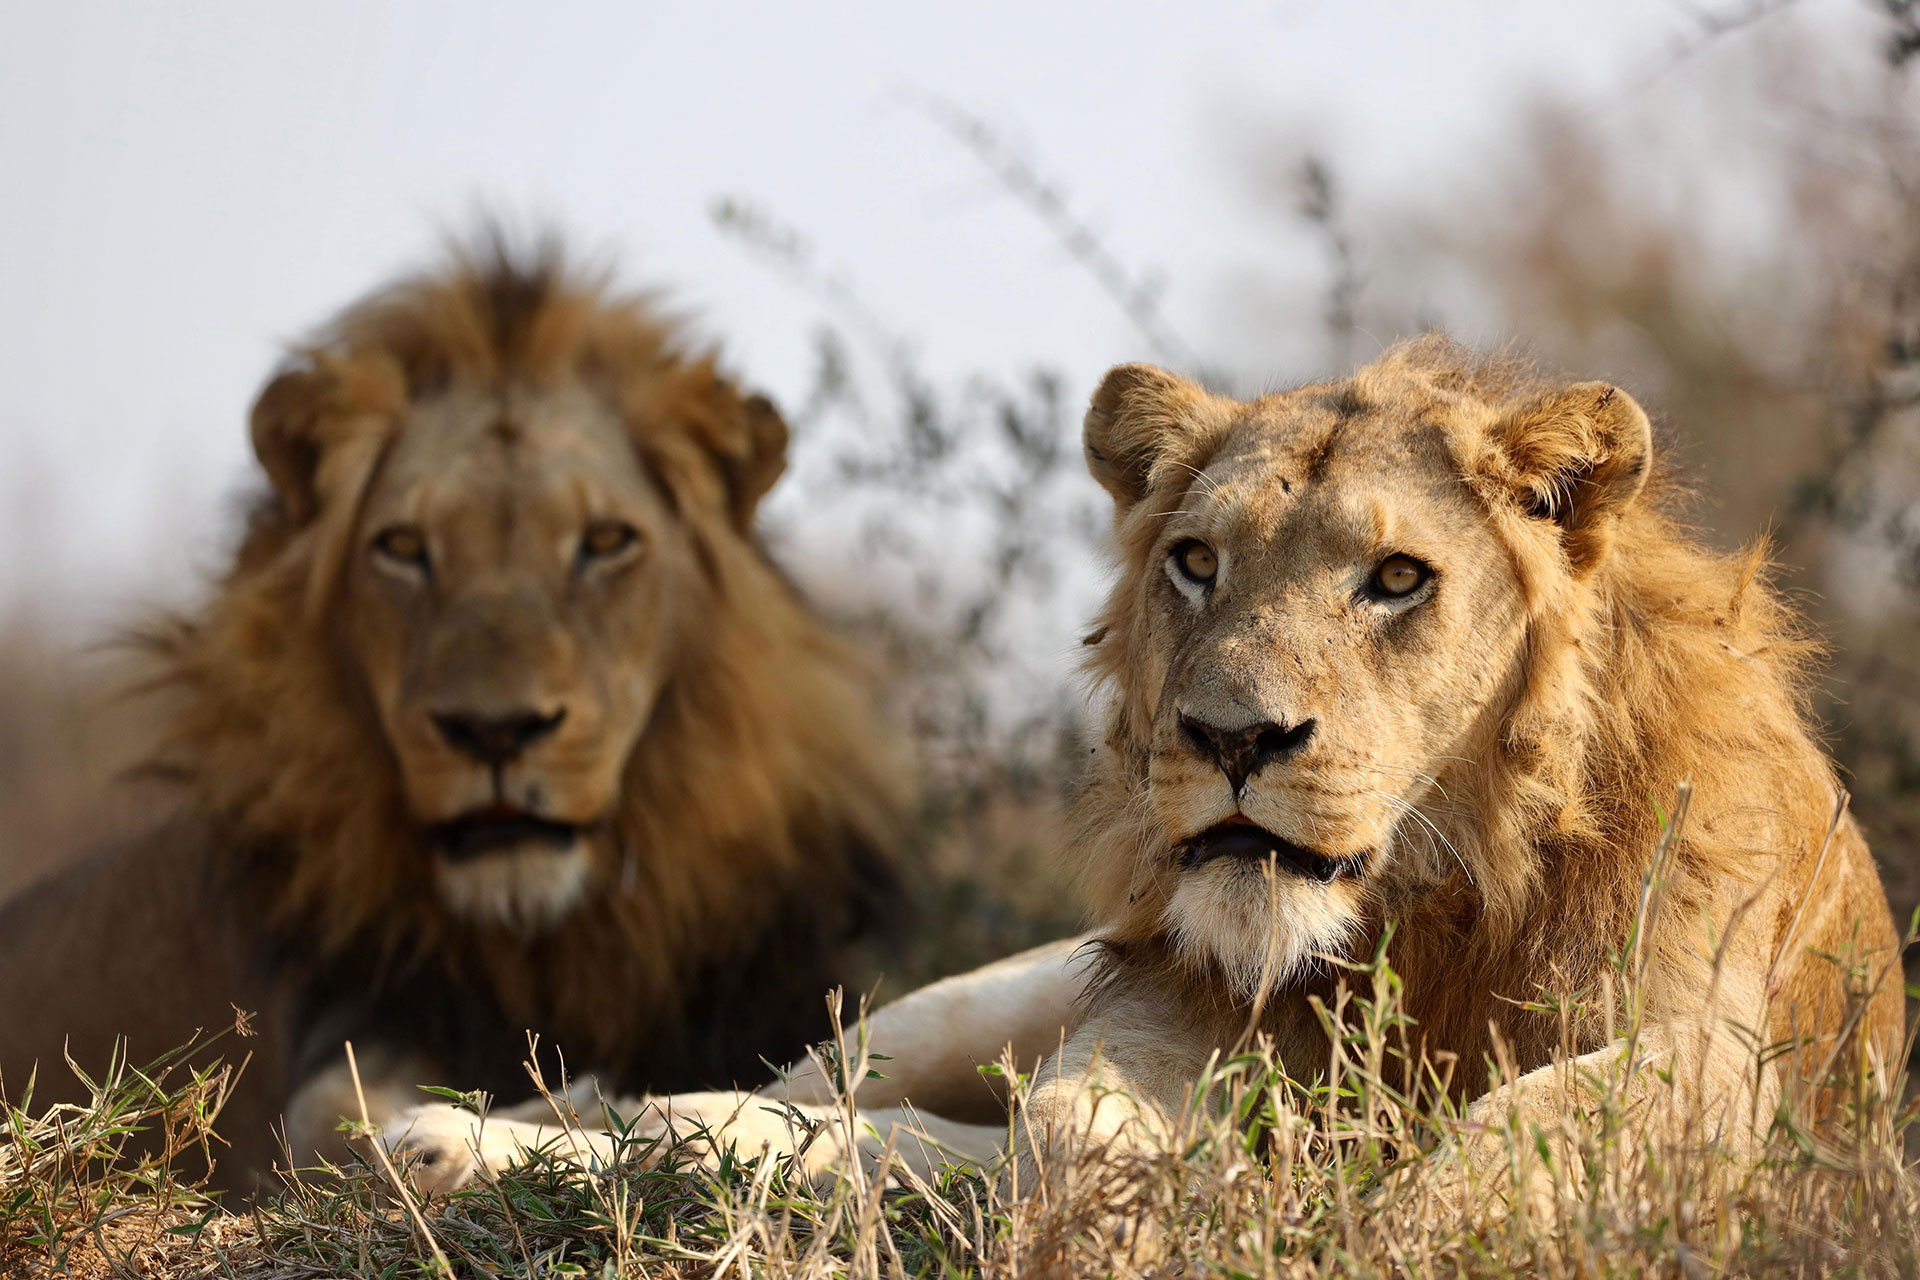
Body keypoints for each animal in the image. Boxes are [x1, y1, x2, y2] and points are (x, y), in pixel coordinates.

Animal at [0, 236, 916, 1188]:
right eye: (404, 548)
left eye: (605, 541)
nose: (496, 730)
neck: (558, 940)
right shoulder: (349, 1038)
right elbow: (349, 1115)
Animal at [388, 339, 1903, 1219]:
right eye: (1195, 561)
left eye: (1397, 577)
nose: (1232, 738)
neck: (1434, 899)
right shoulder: (1170, 1002)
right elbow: (1076, 1119)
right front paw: (1191, 1181)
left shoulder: (1728, 1062)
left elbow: (1537, 1126)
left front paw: (1395, 1210)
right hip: (976, 1001)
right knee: (803, 1096)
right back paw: (447, 1139)